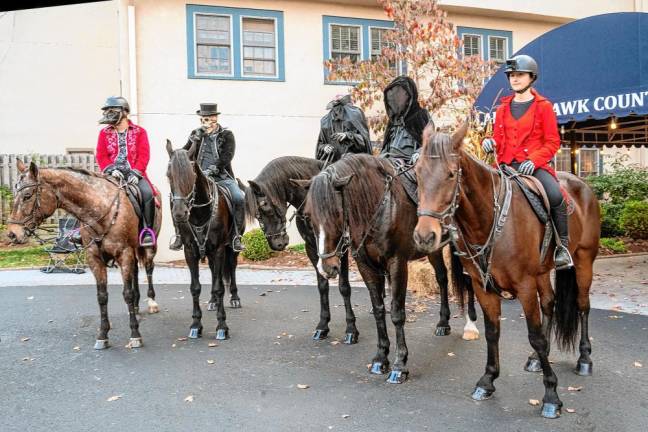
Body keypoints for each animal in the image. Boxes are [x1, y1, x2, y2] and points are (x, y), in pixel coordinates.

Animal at [7, 160, 162, 350]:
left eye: (27, 196)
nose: (12, 234)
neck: (100, 211)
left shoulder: (124, 253)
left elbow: (127, 294)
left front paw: (135, 334)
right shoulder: (94, 258)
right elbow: (102, 296)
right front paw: (103, 335)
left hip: (148, 247)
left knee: (148, 268)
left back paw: (151, 302)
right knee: (134, 273)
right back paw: (137, 306)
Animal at [166, 142, 242, 340]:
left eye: (192, 175)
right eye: (169, 175)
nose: (179, 213)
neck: (199, 213)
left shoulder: (219, 249)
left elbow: (219, 287)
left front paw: (222, 326)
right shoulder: (190, 251)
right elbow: (195, 287)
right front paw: (195, 325)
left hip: (231, 248)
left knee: (231, 269)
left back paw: (235, 298)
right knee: (215, 273)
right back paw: (213, 302)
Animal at [244, 156, 364, 344]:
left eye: (266, 207)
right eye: (257, 215)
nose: (276, 244)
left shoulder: (342, 248)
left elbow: (344, 287)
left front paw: (351, 329)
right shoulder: (312, 248)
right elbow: (322, 286)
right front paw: (322, 326)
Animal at [292, 154, 476, 384]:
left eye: (336, 212)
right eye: (308, 216)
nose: (327, 267)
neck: (379, 207)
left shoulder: (397, 263)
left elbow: (397, 313)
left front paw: (399, 365)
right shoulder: (366, 266)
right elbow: (379, 310)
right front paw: (381, 358)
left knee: (468, 280)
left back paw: (471, 325)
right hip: (433, 249)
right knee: (442, 278)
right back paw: (443, 323)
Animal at [412, 122, 600, 418]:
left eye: (451, 174)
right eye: (418, 173)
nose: (424, 236)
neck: (489, 218)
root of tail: (581, 184)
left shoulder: (525, 286)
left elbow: (535, 336)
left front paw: (551, 395)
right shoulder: (482, 286)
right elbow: (492, 332)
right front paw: (488, 380)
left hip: (583, 261)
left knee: (582, 305)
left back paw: (584, 358)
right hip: (543, 272)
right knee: (550, 304)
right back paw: (537, 360)